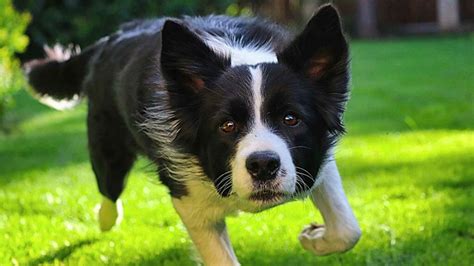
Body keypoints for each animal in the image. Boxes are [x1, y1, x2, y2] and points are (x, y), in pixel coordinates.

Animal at [25, 4, 360, 266]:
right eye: (227, 125)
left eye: (291, 119)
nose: (263, 166)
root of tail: (110, 39)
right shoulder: (188, 200)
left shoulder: (316, 160)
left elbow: (348, 230)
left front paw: (314, 238)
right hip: (108, 148)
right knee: (109, 191)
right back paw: (105, 218)